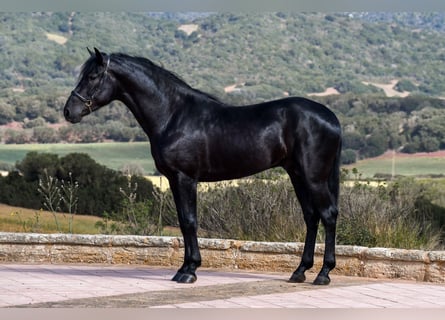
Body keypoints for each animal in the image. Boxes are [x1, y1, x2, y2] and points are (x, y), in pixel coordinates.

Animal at [63, 48, 340, 284]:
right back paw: (299, 271)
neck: (174, 115)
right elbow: (183, 222)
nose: (68, 111)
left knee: (328, 215)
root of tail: (331, 118)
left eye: (92, 76)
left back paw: (323, 274)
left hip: (314, 178)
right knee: (311, 216)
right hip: (297, 175)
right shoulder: (174, 180)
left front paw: (190, 271)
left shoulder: (185, 178)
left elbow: (189, 221)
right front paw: (184, 268)